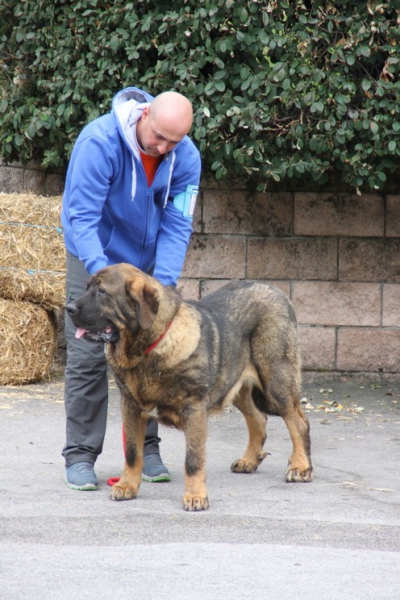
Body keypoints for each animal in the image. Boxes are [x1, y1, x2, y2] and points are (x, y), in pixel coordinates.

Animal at [67, 264, 312, 510]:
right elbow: (132, 451)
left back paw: (300, 466)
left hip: (275, 381)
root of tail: (278, 292)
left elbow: (193, 459)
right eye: (87, 288)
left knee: (297, 421)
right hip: (234, 382)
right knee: (258, 418)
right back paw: (249, 460)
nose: (69, 308)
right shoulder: (131, 406)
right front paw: (127, 485)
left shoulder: (194, 409)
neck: (149, 348)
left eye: (102, 292)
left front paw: (195, 496)